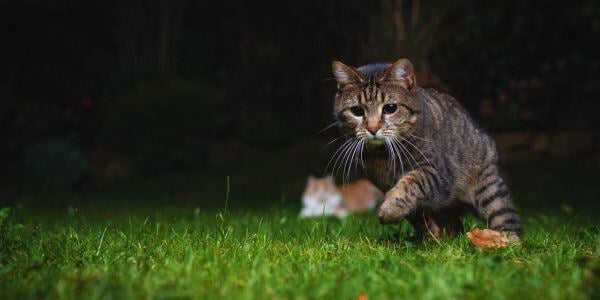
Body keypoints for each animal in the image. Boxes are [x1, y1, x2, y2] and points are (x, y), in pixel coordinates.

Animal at [330, 58, 524, 241]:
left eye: (390, 108)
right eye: (356, 111)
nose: (372, 128)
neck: (382, 156)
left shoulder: (436, 172)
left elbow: (412, 183)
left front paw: (391, 209)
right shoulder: (384, 184)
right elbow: (417, 215)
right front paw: (430, 236)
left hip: (490, 190)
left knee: (507, 220)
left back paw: (507, 243)